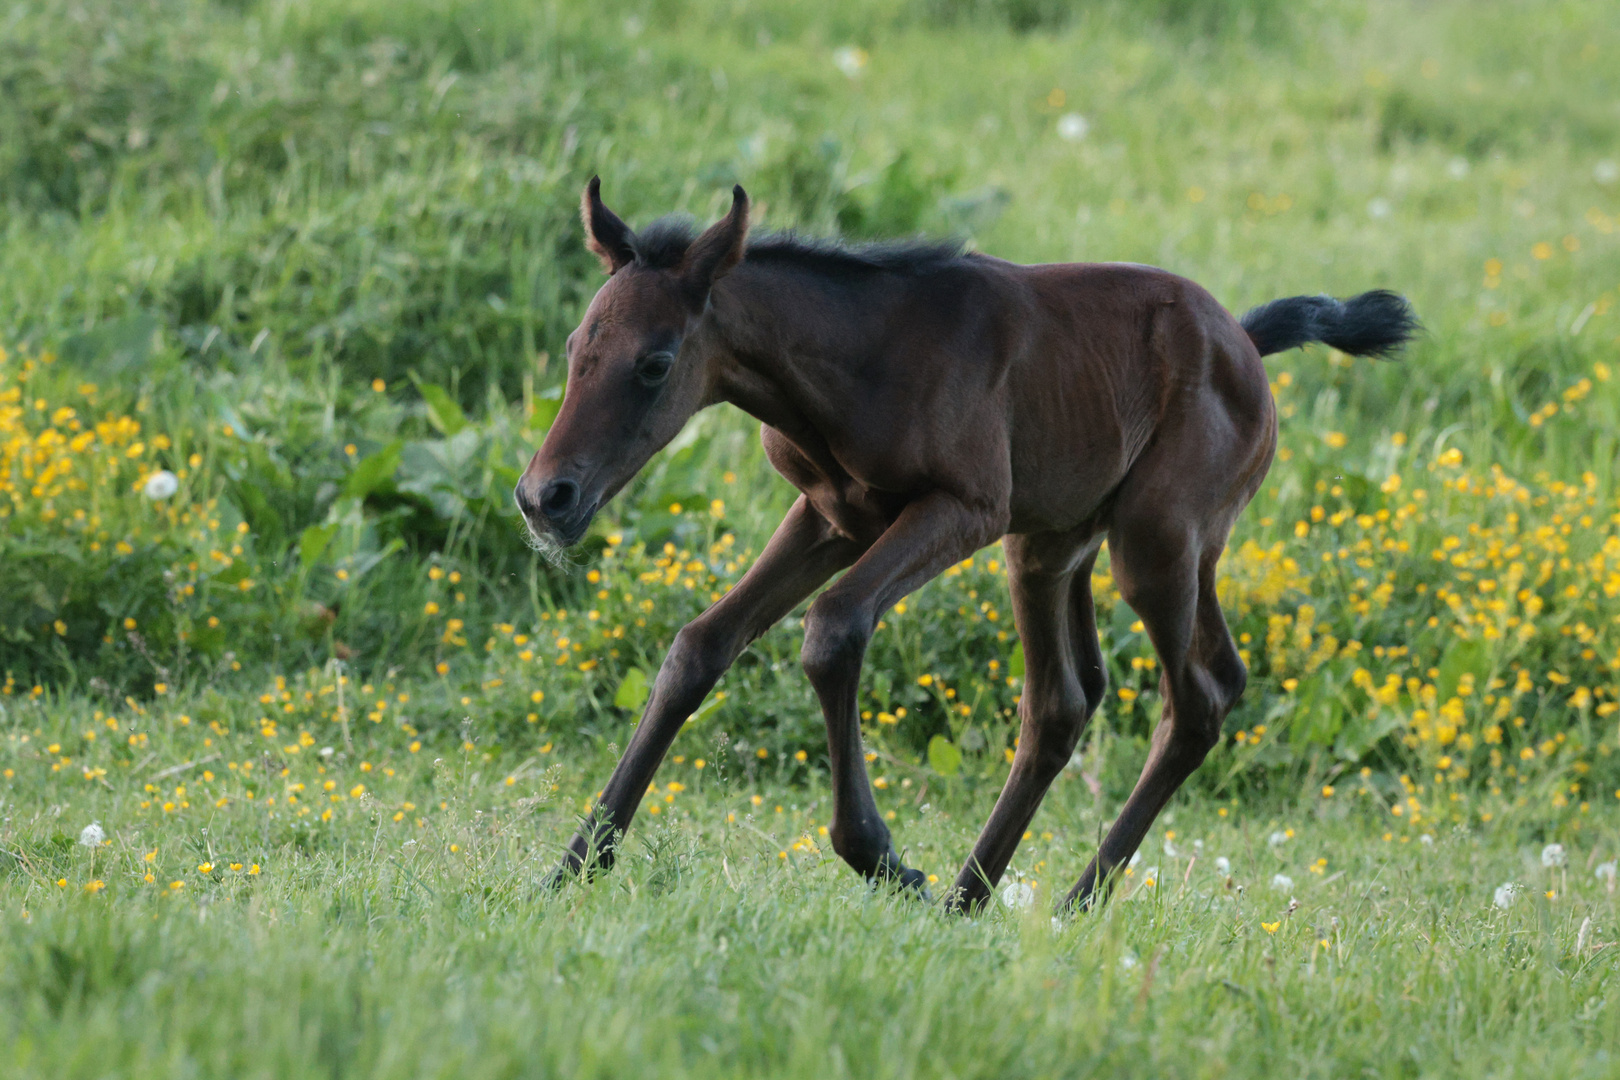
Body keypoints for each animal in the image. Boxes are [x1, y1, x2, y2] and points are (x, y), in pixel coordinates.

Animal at [518, 179, 1419, 913]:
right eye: (574, 348)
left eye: (656, 362)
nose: (544, 497)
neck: (857, 358)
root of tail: (1245, 342)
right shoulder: (832, 516)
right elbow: (699, 646)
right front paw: (569, 870)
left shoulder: (964, 508)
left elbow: (833, 628)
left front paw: (883, 860)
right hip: (1053, 545)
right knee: (1068, 702)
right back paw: (970, 898)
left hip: (1157, 541)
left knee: (1197, 695)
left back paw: (1067, 901)